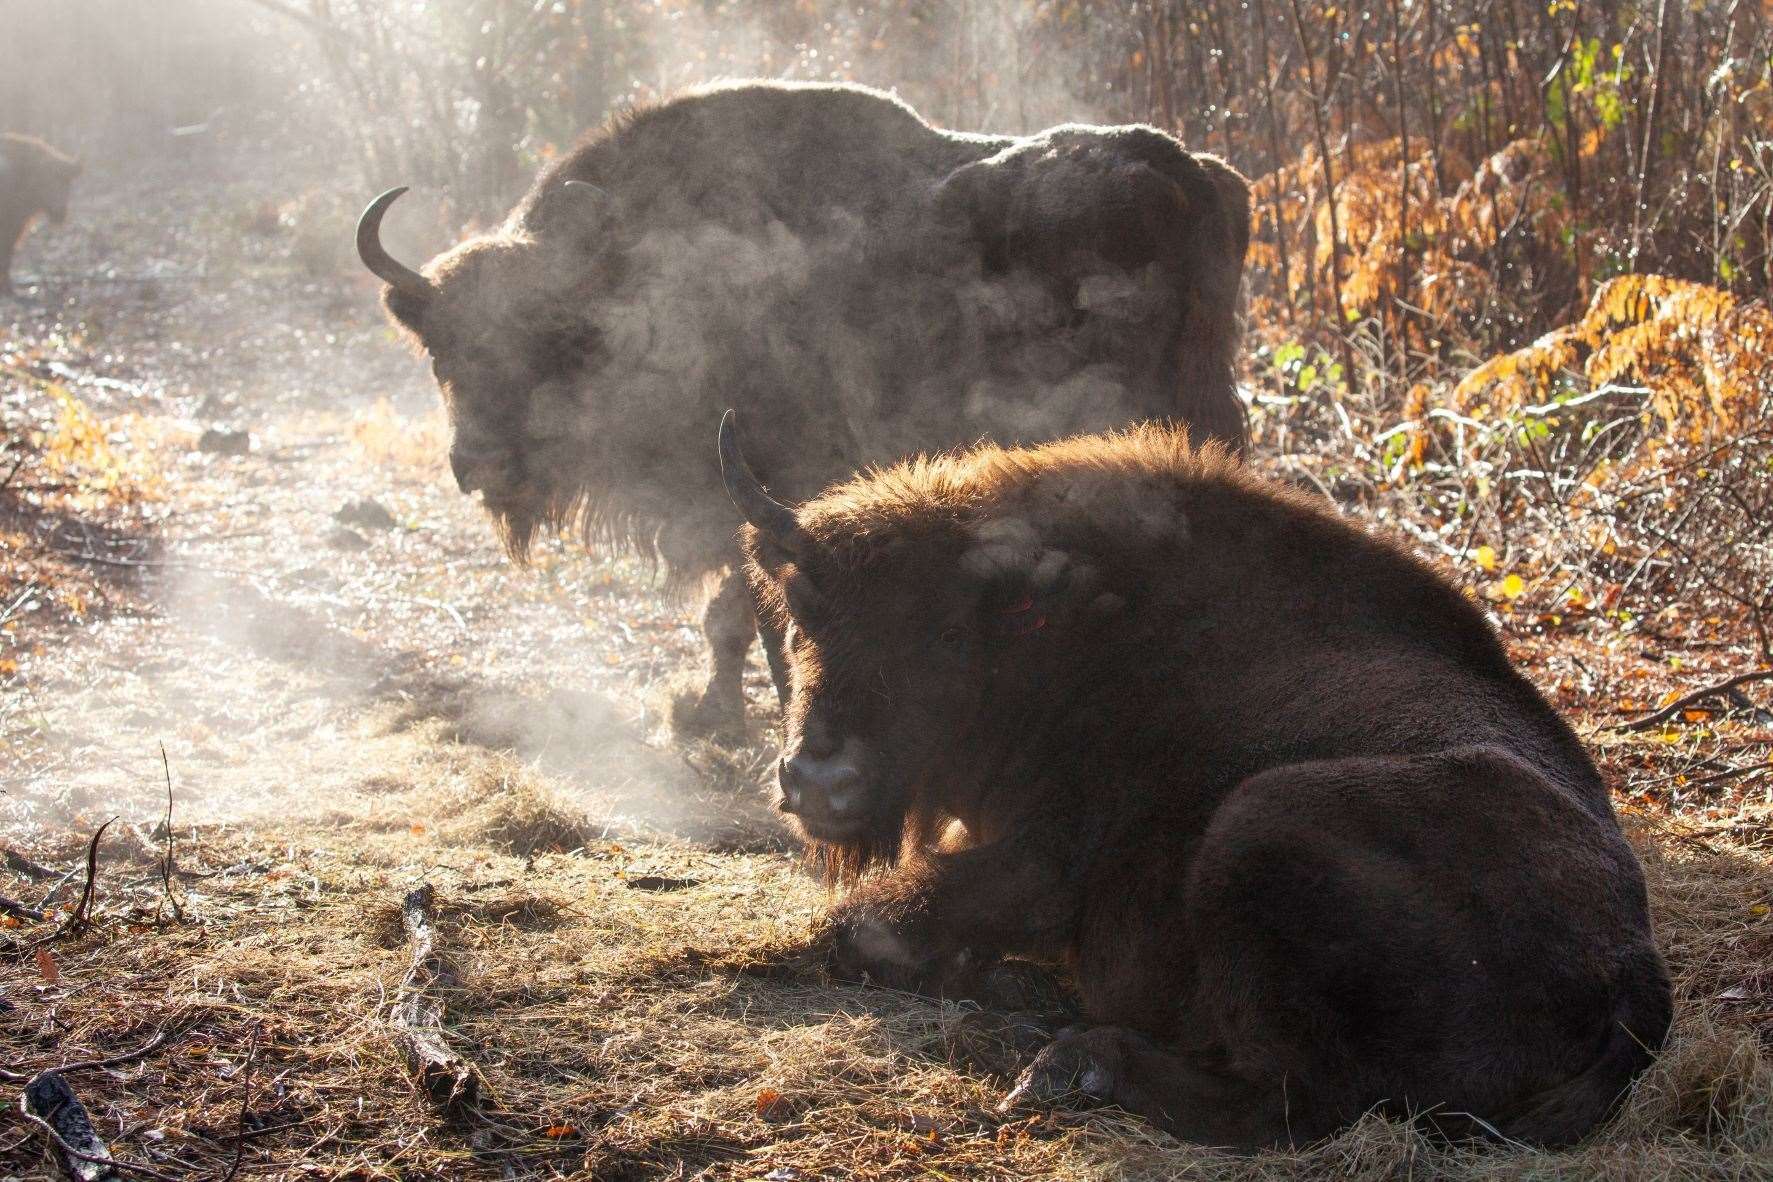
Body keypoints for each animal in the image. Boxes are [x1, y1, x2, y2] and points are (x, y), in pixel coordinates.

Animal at [0, 132, 79, 295]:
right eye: (46, 181)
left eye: (67, 184)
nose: (61, 212)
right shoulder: (12, 226)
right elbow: (6, 255)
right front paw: (9, 290)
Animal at [356, 81, 1248, 740]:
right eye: (441, 352)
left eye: (546, 343)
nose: (478, 463)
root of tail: (1183, 172)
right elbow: (727, 614)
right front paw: (708, 711)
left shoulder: (750, 488)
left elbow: (741, 608)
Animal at [716, 411, 1659, 1148]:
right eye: (802, 616)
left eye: (947, 635)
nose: (818, 779)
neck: (1063, 636)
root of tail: (1632, 965)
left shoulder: (1041, 868)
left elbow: (861, 926)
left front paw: (1011, 990)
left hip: (1258, 823)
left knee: (1297, 1105)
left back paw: (1067, 1061)